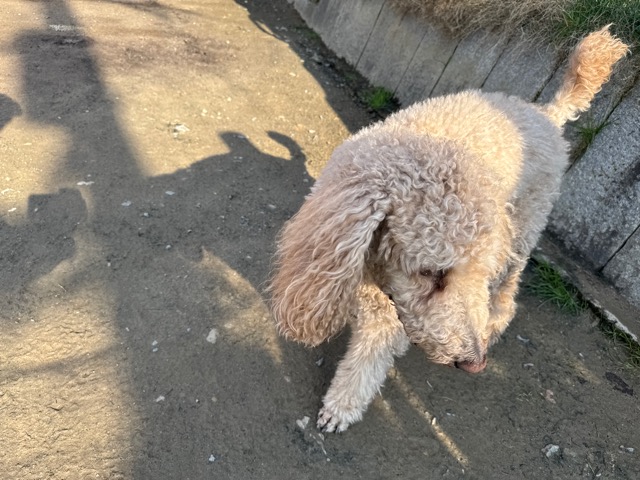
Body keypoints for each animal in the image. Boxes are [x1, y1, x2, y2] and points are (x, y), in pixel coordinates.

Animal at [269, 26, 629, 433]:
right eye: (431, 273)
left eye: (474, 274)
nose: (474, 363)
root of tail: (546, 114)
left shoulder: (396, 313)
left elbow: (369, 359)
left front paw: (341, 407)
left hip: (526, 225)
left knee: (509, 291)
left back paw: (495, 321)